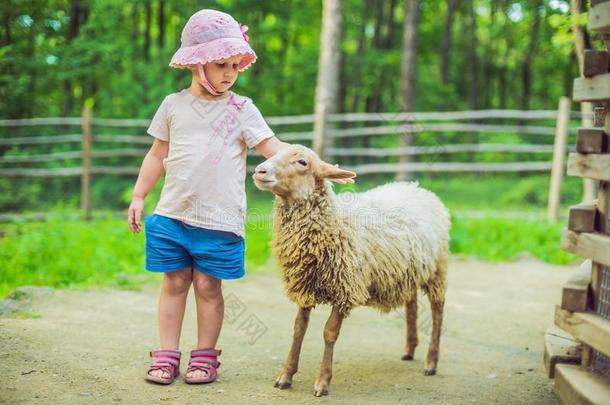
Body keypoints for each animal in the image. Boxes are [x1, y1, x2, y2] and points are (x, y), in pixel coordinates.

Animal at [252, 144, 452, 394]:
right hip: (407, 271)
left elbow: (329, 333)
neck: (334, 223)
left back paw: (431, 361)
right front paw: (285, 376)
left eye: (302, 162)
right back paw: (409, 349)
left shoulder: (345, 288)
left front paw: (322, 382)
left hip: (437, 269)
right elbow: (298, 329)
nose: (259, 171)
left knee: (437, 310)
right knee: (412, 304)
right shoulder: (305, 285)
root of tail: (418, 188)